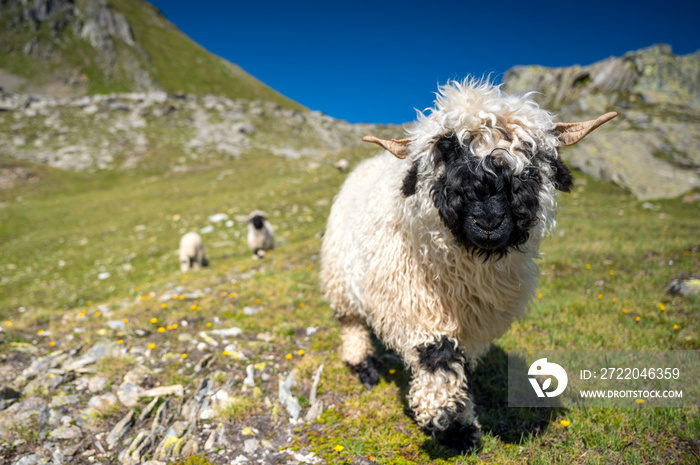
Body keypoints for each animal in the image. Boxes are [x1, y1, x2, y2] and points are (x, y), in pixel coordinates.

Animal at [320, 77, 616, 450]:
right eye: (446, 151)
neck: (468, 271)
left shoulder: (476, 323)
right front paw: (445, 420)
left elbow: (462, 362)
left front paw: (461, 423)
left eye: (532, 156)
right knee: (352, 323)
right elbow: (439, 356)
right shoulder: (416, 302)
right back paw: (364, 367)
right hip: (339, 276)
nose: (488, 220)